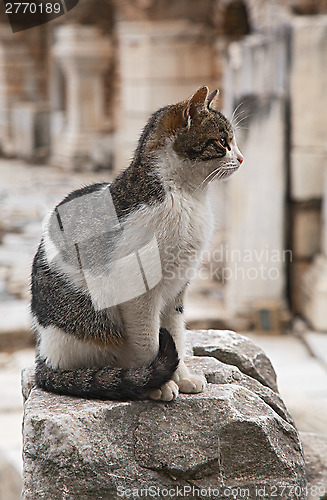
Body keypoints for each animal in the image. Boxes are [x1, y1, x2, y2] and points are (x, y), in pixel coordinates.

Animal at [31, 86, 243, 402]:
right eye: (222, 141)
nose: (241, 158)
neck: (187, 195)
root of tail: (43, 356)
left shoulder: (177, 289)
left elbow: (175, 335)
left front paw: (182, 377)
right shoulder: (139, 292)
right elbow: (150, 342)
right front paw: (160, 383)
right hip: (92, 324)